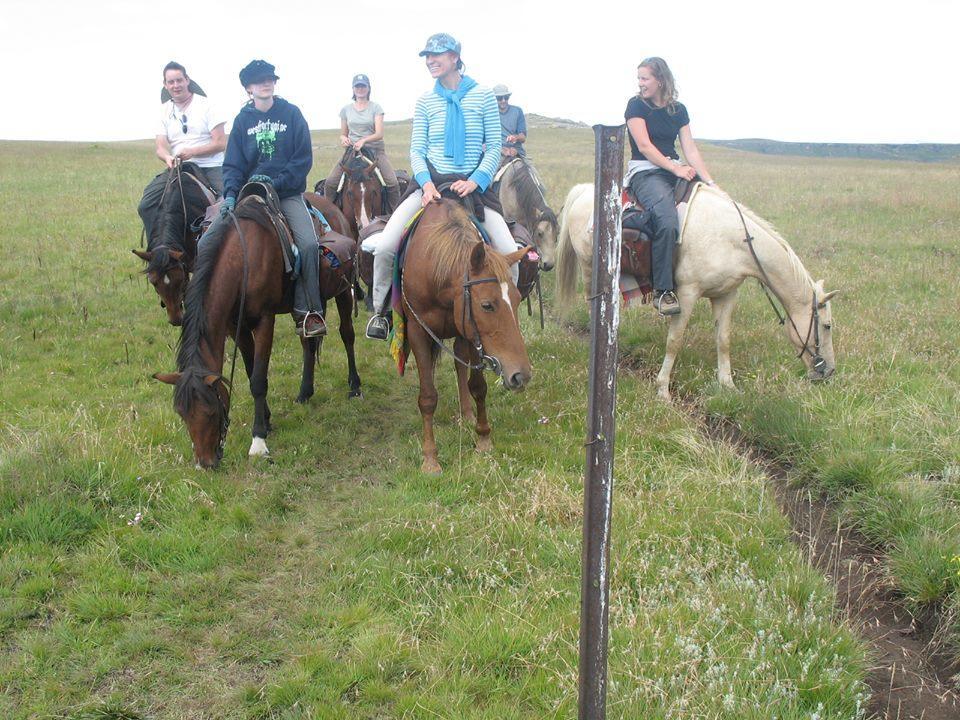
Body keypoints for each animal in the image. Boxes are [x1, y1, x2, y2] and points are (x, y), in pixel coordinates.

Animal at [156, 190, 362, 466]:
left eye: (210, 410)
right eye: (181, 413)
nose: (205, 463)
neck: (243, 260)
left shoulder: (265, 321)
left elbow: (258, 380)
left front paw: (258, 440)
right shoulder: (237, 327)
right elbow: (250, 369)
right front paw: (266, 419)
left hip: (343, 293)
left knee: (347, 334)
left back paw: (355, 386)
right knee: (308, 344)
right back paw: (304, 392)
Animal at [396, 200, 532, 476]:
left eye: (517, 300)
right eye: (487, 305)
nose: (520, 375)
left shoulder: (470, 333)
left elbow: (478, 386)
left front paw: (483, 438)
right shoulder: (417, 331)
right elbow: (428, 397)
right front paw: (430, 458)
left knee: (460, 365)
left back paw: (466, 413)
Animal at [556, 183, 840, 402]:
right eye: (827, 326)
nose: (829, 372)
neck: (733, 241)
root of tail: (584, 191)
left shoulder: (726, 295)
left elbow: (723, 340)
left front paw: (727, 385)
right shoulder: (687, 293)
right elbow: (674, 341)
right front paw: (663, 390)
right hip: (589, 268)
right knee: (593, 305)